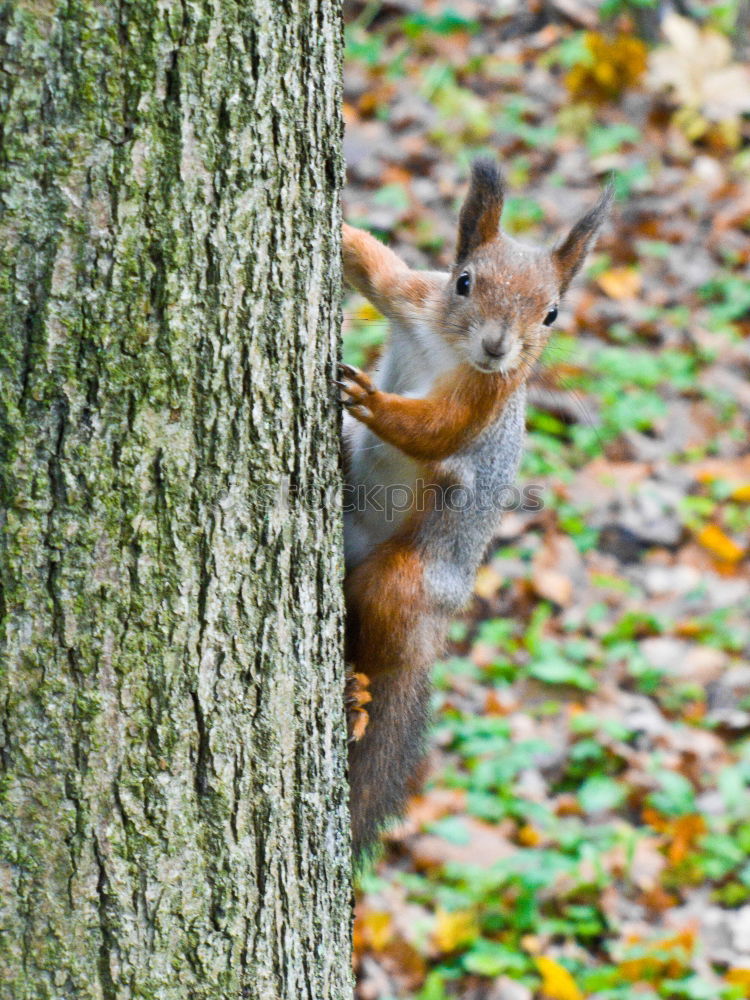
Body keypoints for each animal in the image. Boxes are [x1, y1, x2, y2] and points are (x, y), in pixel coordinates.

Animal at [340, 158, 612, 860]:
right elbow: (373, 266)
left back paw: (358, 695)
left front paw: (370, 401)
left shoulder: (481, 400)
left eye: (551, 314)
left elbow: (434, 431)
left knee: (384, 638)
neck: (450, 347)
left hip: (407, 578)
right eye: (464, 282)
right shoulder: (412, 298)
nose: (497, 347)